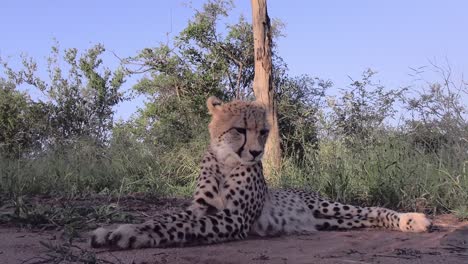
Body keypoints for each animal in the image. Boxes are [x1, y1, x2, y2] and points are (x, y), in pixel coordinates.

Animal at [91, 96, 432, 249]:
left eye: (264, 132)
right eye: (240, 130)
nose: (256, 153)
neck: (225, 161)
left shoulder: (235, 218)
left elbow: (177, 227)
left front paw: (132, 234)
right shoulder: (201, 208)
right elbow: (166, 218)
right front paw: (114, 230)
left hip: (327, 206)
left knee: (372, 209)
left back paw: (413, 220)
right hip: (330, 221)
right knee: (363, 218)